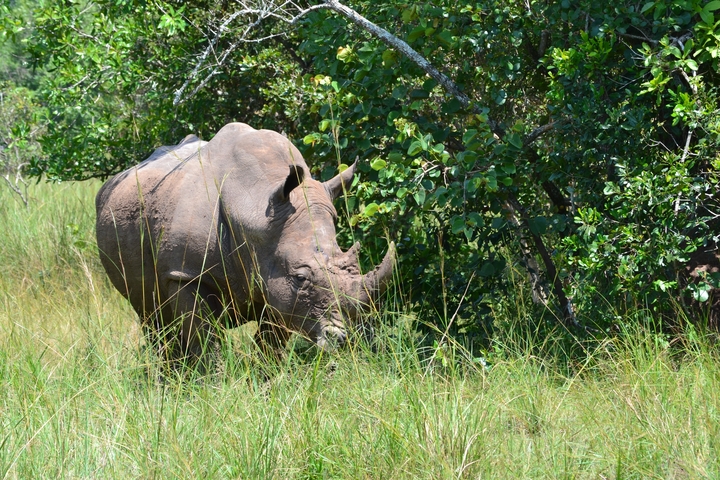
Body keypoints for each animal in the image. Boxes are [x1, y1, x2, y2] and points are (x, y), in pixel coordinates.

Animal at [95, 122, 394, 362]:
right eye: (300, 278)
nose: (340, 339)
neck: (256, 211)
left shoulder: (276, 282)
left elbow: (271, 345)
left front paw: (266, 385)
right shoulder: (186, 274)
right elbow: (205, 342)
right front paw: (211, 387)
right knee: (154, 320)